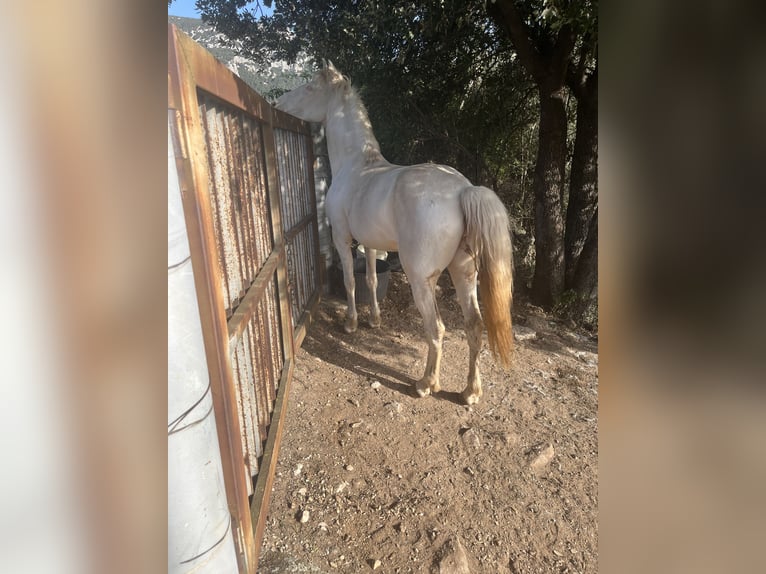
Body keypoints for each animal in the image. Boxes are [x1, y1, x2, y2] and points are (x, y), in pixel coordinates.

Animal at [276, 63, 516, 404]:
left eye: (310, 88)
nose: (279, 103)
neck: (357, 166)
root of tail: (462, 190)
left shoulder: (342, 239)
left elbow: (350, 281)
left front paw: (351, 323)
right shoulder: (370, 243)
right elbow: (372, 280)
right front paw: (374, 319)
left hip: (421, 280)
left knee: (437, 329)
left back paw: (426, 384)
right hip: (464, 271)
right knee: (474, 326)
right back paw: (470, 391)